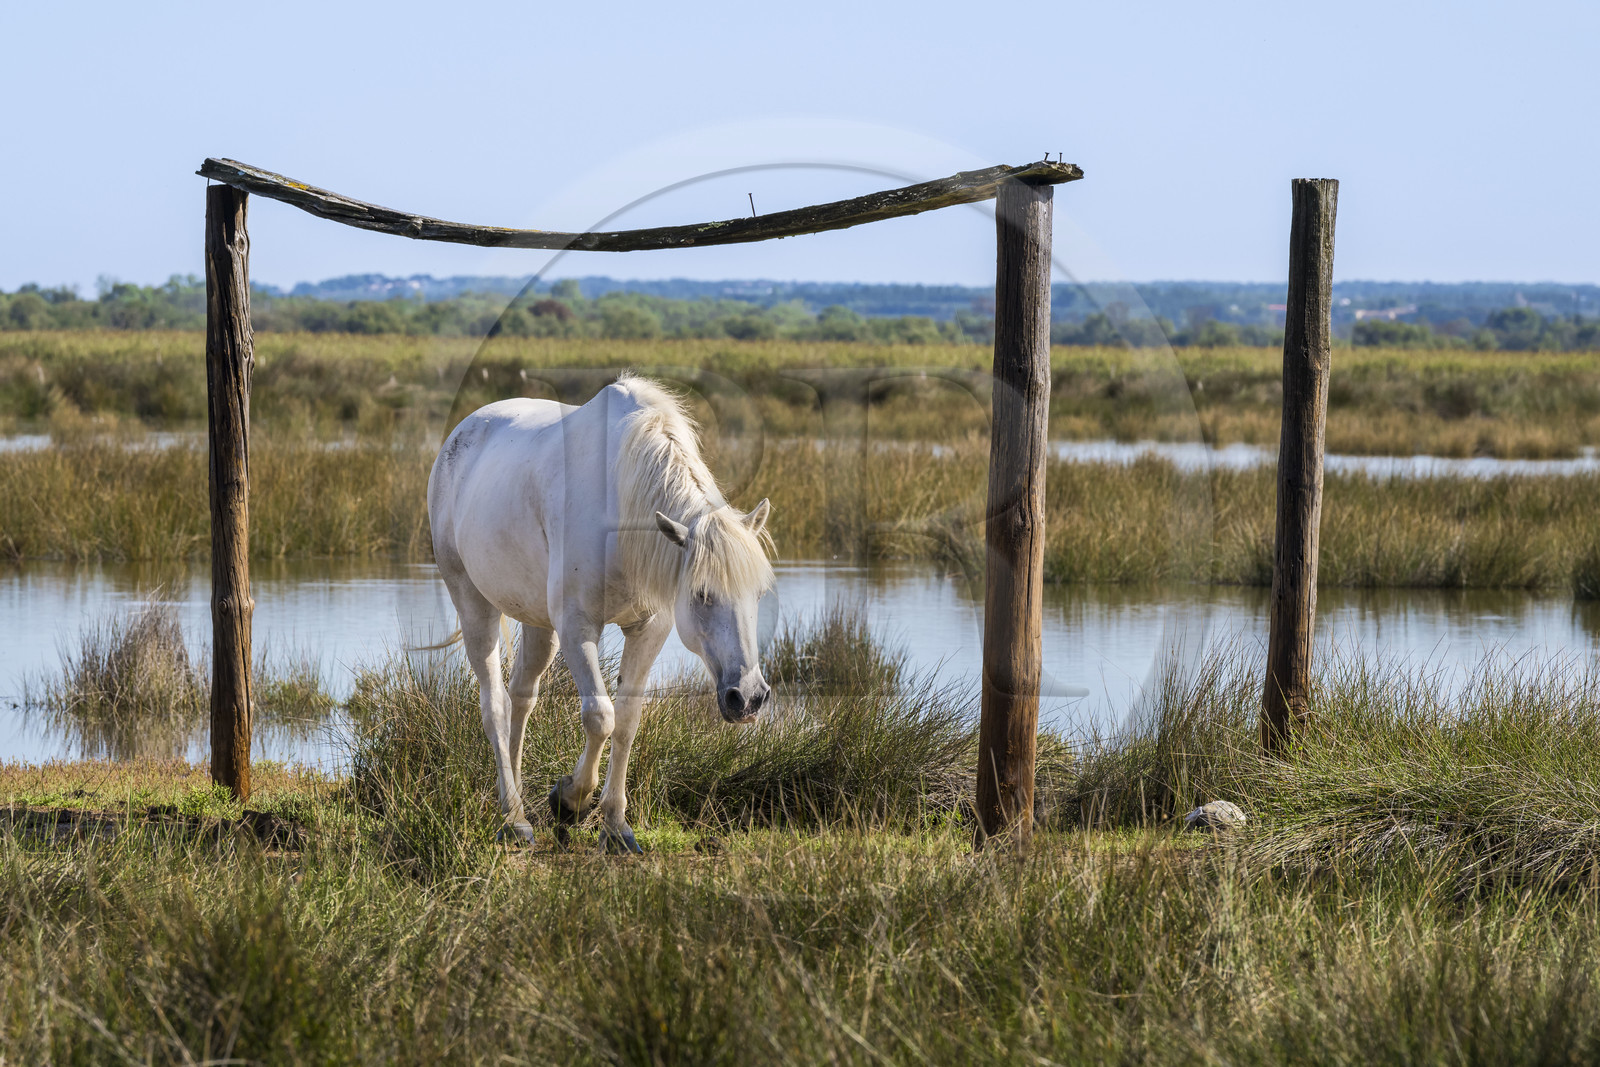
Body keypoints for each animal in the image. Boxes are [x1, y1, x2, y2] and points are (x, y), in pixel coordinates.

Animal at [427, 373, 775, 852]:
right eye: (702, 594)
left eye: (759, 594)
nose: (749, 698)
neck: (621, 509)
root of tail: (460, 433)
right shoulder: (578, 627)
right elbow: (599, 717)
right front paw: (569, 800)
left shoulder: (649, 628)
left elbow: (626, 721)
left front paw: (615, 826)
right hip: (473, 603)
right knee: (494, 704)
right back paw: (514, 820)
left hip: (538, 623)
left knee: (522, 697)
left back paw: (514, 801)